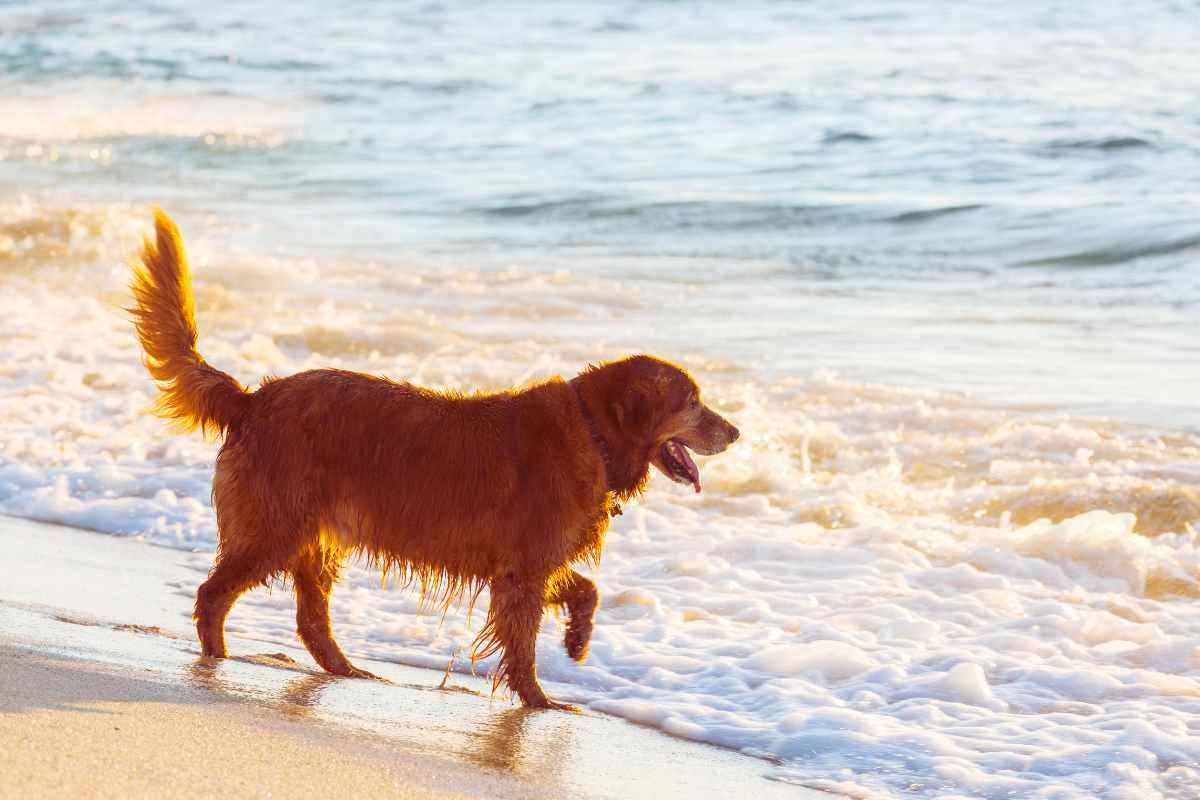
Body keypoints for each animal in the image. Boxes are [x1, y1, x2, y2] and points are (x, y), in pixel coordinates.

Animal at [126, 209, 734, 710]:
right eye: (693, 402)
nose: (735, 431)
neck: (593, 430)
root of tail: (255, 398)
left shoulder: (529, 561)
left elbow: (587, 589)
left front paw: (578, 642)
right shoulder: (523, 570)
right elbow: (524, 644)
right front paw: (540, 699)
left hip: (314, 535)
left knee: (310, 618)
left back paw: (346, 669)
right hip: (273, 527)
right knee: (213, 594)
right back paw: (218, 658)